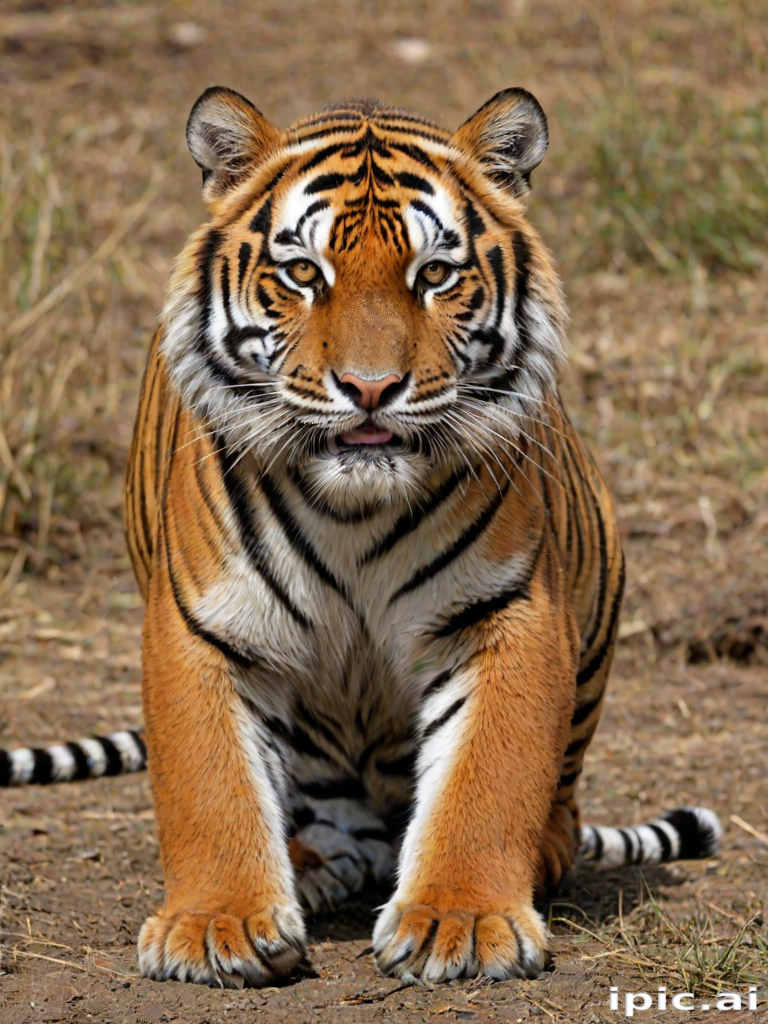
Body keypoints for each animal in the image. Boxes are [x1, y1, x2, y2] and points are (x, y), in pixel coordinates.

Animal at [1, 87, 722, 988]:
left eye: (435, 274)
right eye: (304, 273)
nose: (371, 388)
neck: (355, 510)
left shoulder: (506, 612)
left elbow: (488, 777)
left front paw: (461, 920)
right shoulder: (204, 625)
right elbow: (208, 783)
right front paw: (218, 925)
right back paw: (309, 863)